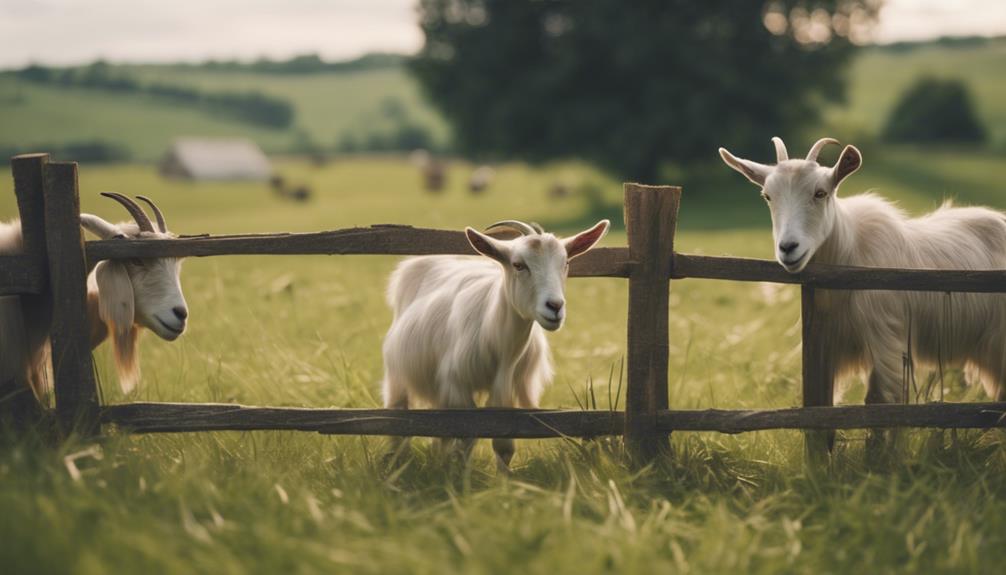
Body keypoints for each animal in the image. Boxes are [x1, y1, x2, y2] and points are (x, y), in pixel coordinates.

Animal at [380, 218, 607, 468]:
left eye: (565, 262)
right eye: (518, 265)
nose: (555, 306)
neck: (498, 343)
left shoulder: (505, 391)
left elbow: (503, 445)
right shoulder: (456, 386)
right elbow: (466, 438)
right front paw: (461, 474)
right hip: (397, 373)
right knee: (399, 416)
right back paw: (397, 462)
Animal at [720, 137, 1006, 414]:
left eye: (820, 193)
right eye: (768, 196)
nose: (788, 247)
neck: (847, 257)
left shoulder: (887, 341)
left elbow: (878, 404)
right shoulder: (825, 349)